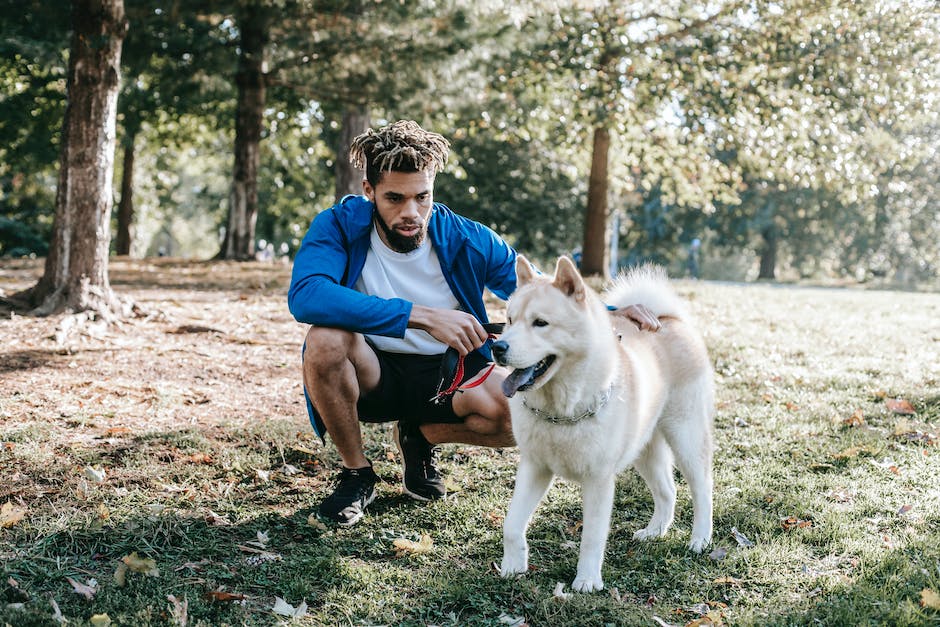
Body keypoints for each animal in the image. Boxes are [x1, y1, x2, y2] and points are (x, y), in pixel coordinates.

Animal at [492, 255, 712, 592]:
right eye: (509, 320)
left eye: (540, 323)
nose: (497, 347)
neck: (561, 409)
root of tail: (669, 319)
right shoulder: (534, 467)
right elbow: (512, 524)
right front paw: (512, 567)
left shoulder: (598, 480)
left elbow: (592, 537)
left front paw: (586, 581)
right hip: (644, 451)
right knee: (667, 491)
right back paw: (655, 531)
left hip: (686, 437)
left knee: (702, 489)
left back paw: (700, 539)